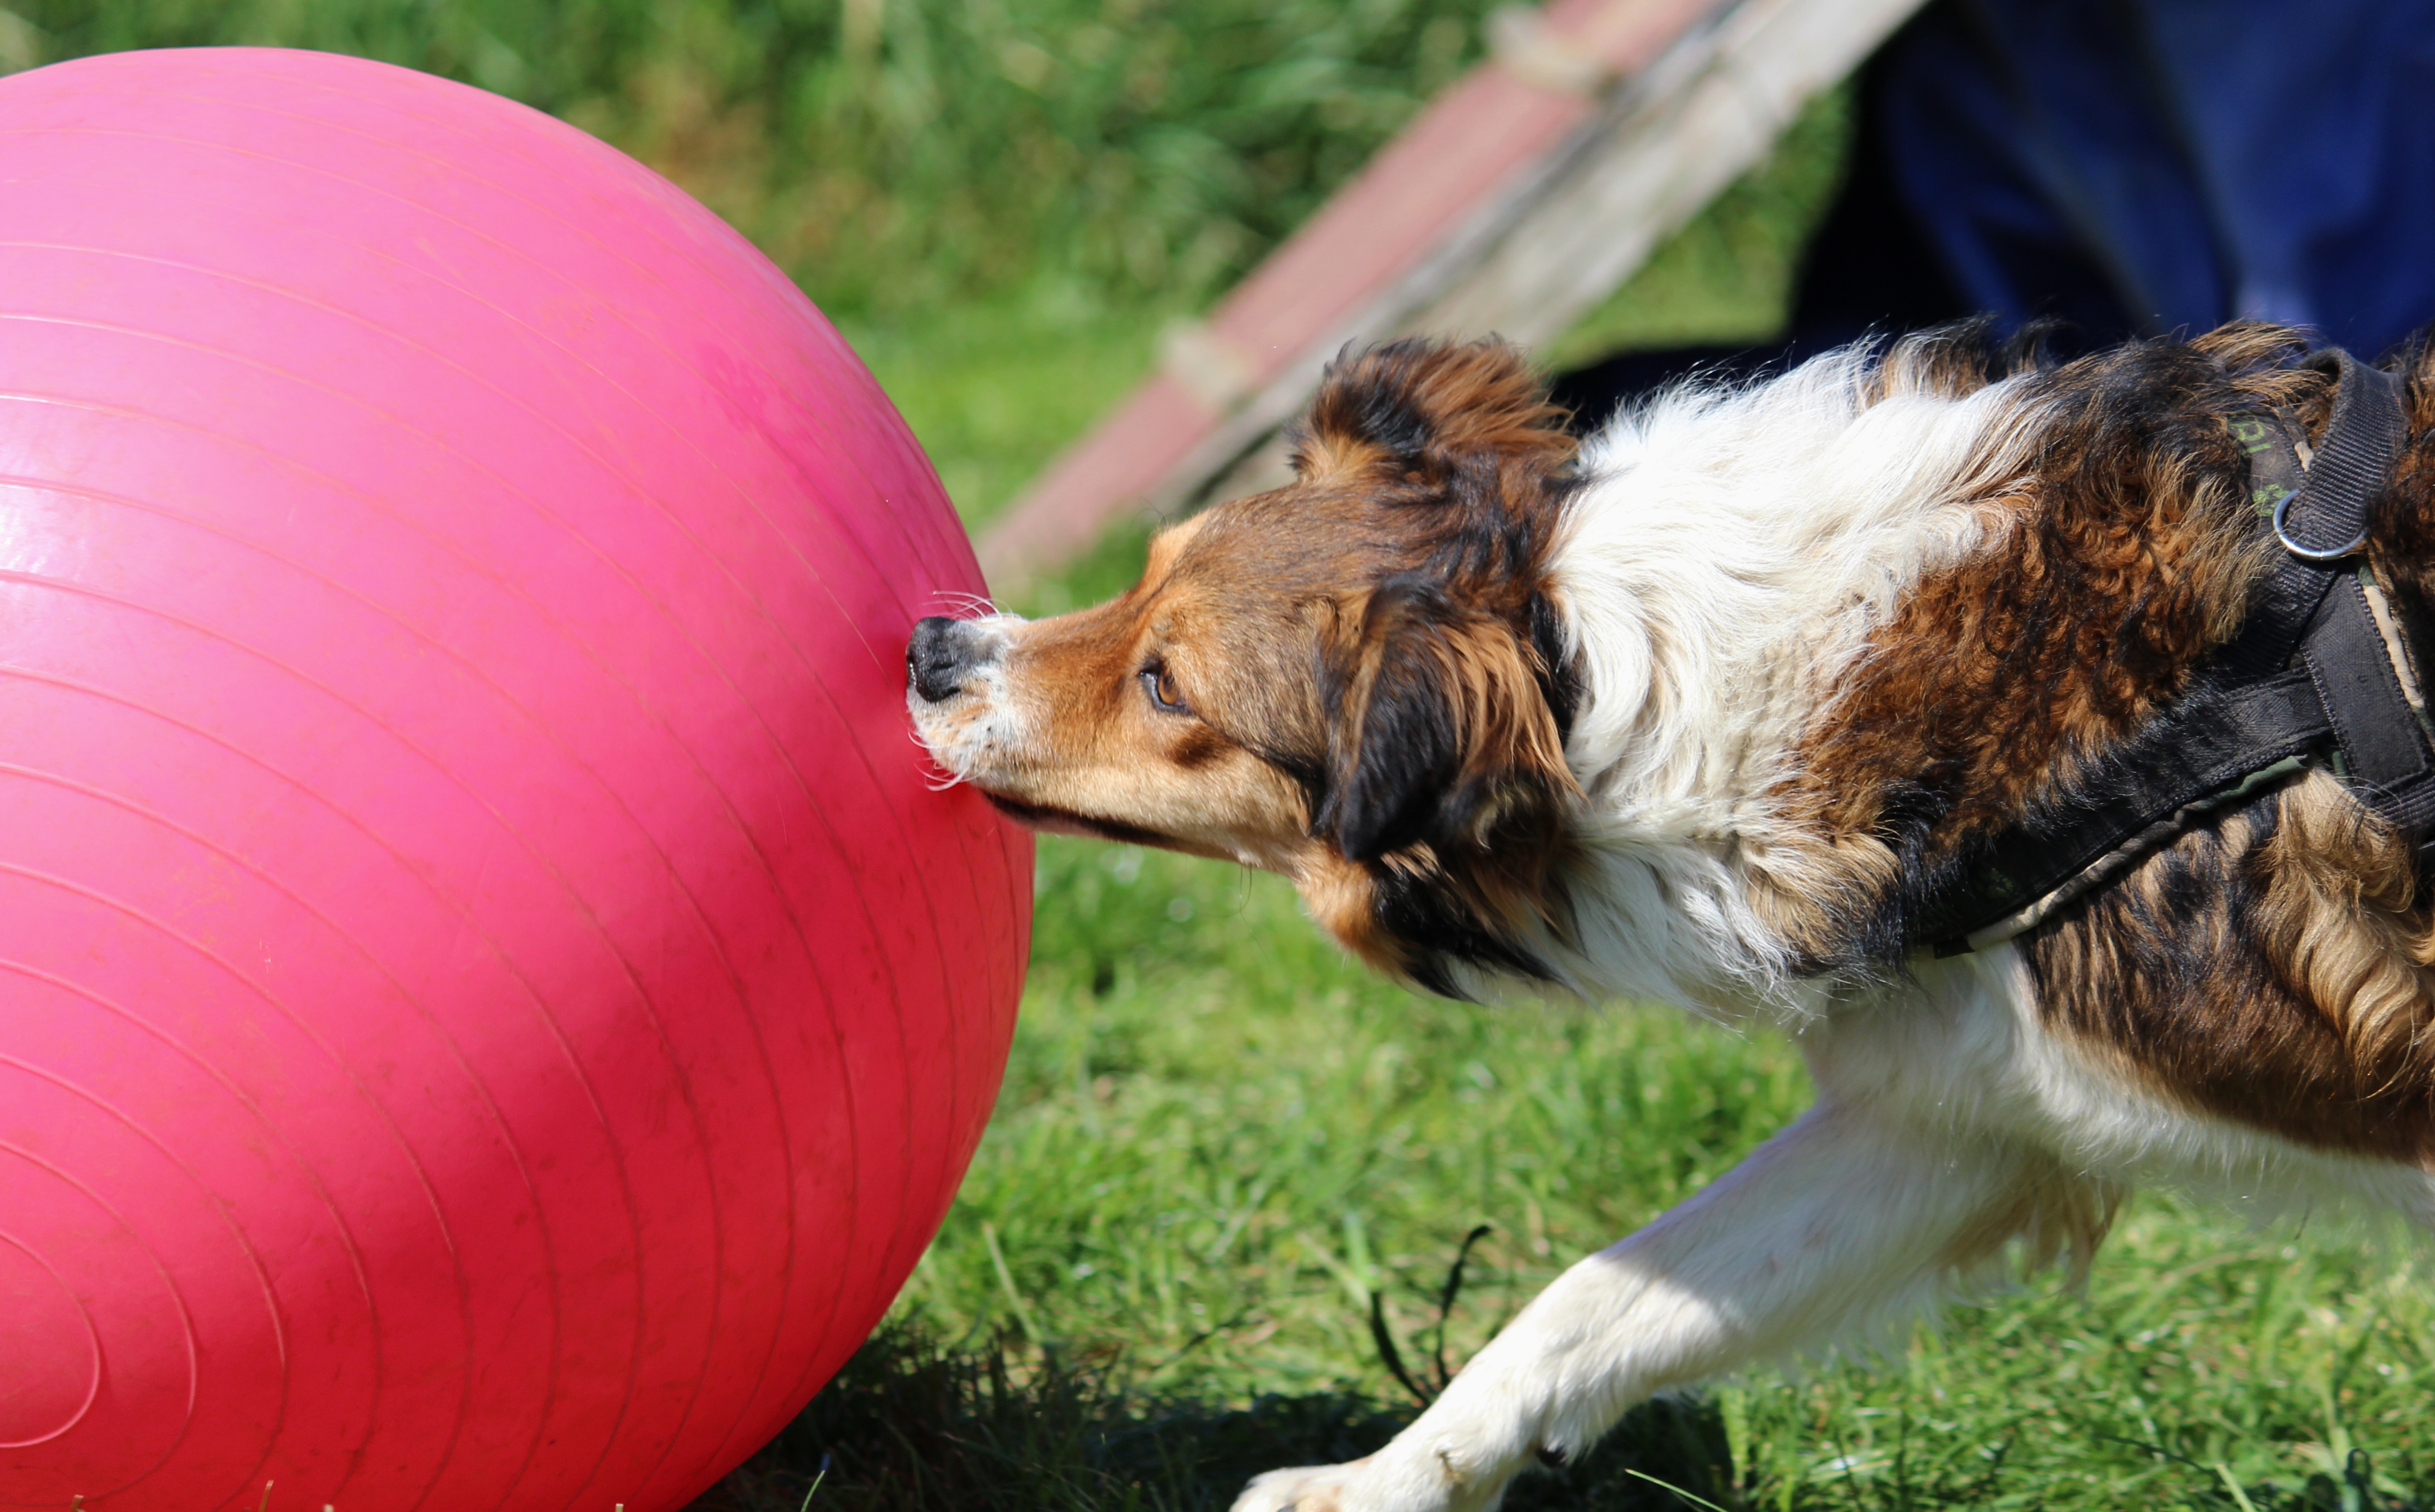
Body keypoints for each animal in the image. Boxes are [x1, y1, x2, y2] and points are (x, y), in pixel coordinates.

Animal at [901, 331, 2435, 1509]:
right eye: (1140, 571)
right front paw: (1378, 1481)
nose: (929, 649)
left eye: (1167, 686)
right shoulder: (1958, 1111)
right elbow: (1595, 1296)